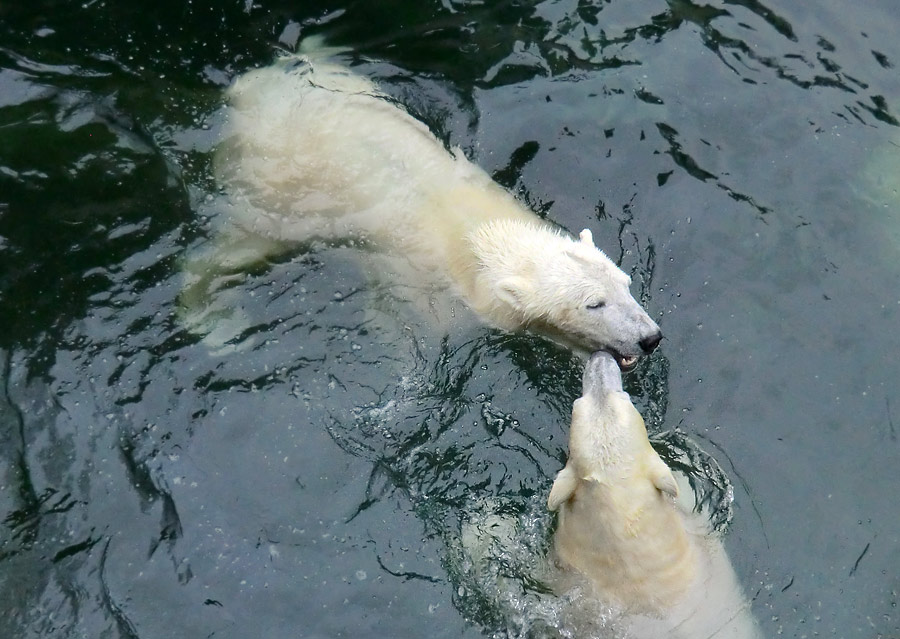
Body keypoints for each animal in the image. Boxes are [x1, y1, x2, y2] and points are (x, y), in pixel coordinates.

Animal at [181, 48, 660, 364]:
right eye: (593, 304)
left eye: (625, 283)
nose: (649, 338)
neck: (479, 234)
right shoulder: (426, 289)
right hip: (275, 187)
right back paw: (213, 320)